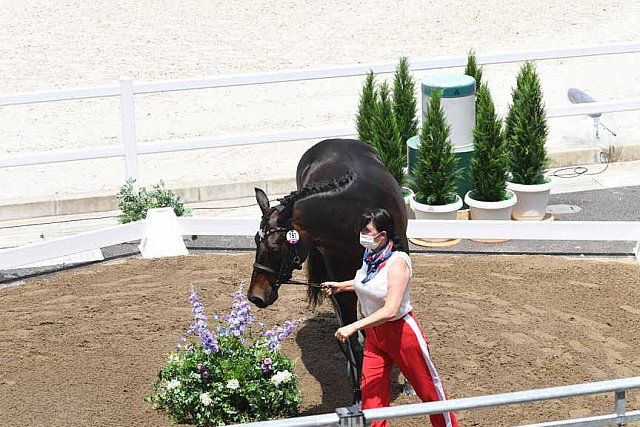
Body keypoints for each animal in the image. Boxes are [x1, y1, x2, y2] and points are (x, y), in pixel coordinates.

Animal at [248, 140, 408, 394]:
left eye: (274, 249)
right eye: (255, 241)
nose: (255, 296)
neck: (356, 212)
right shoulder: (340, 280)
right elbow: (351, 336)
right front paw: (358, 389)